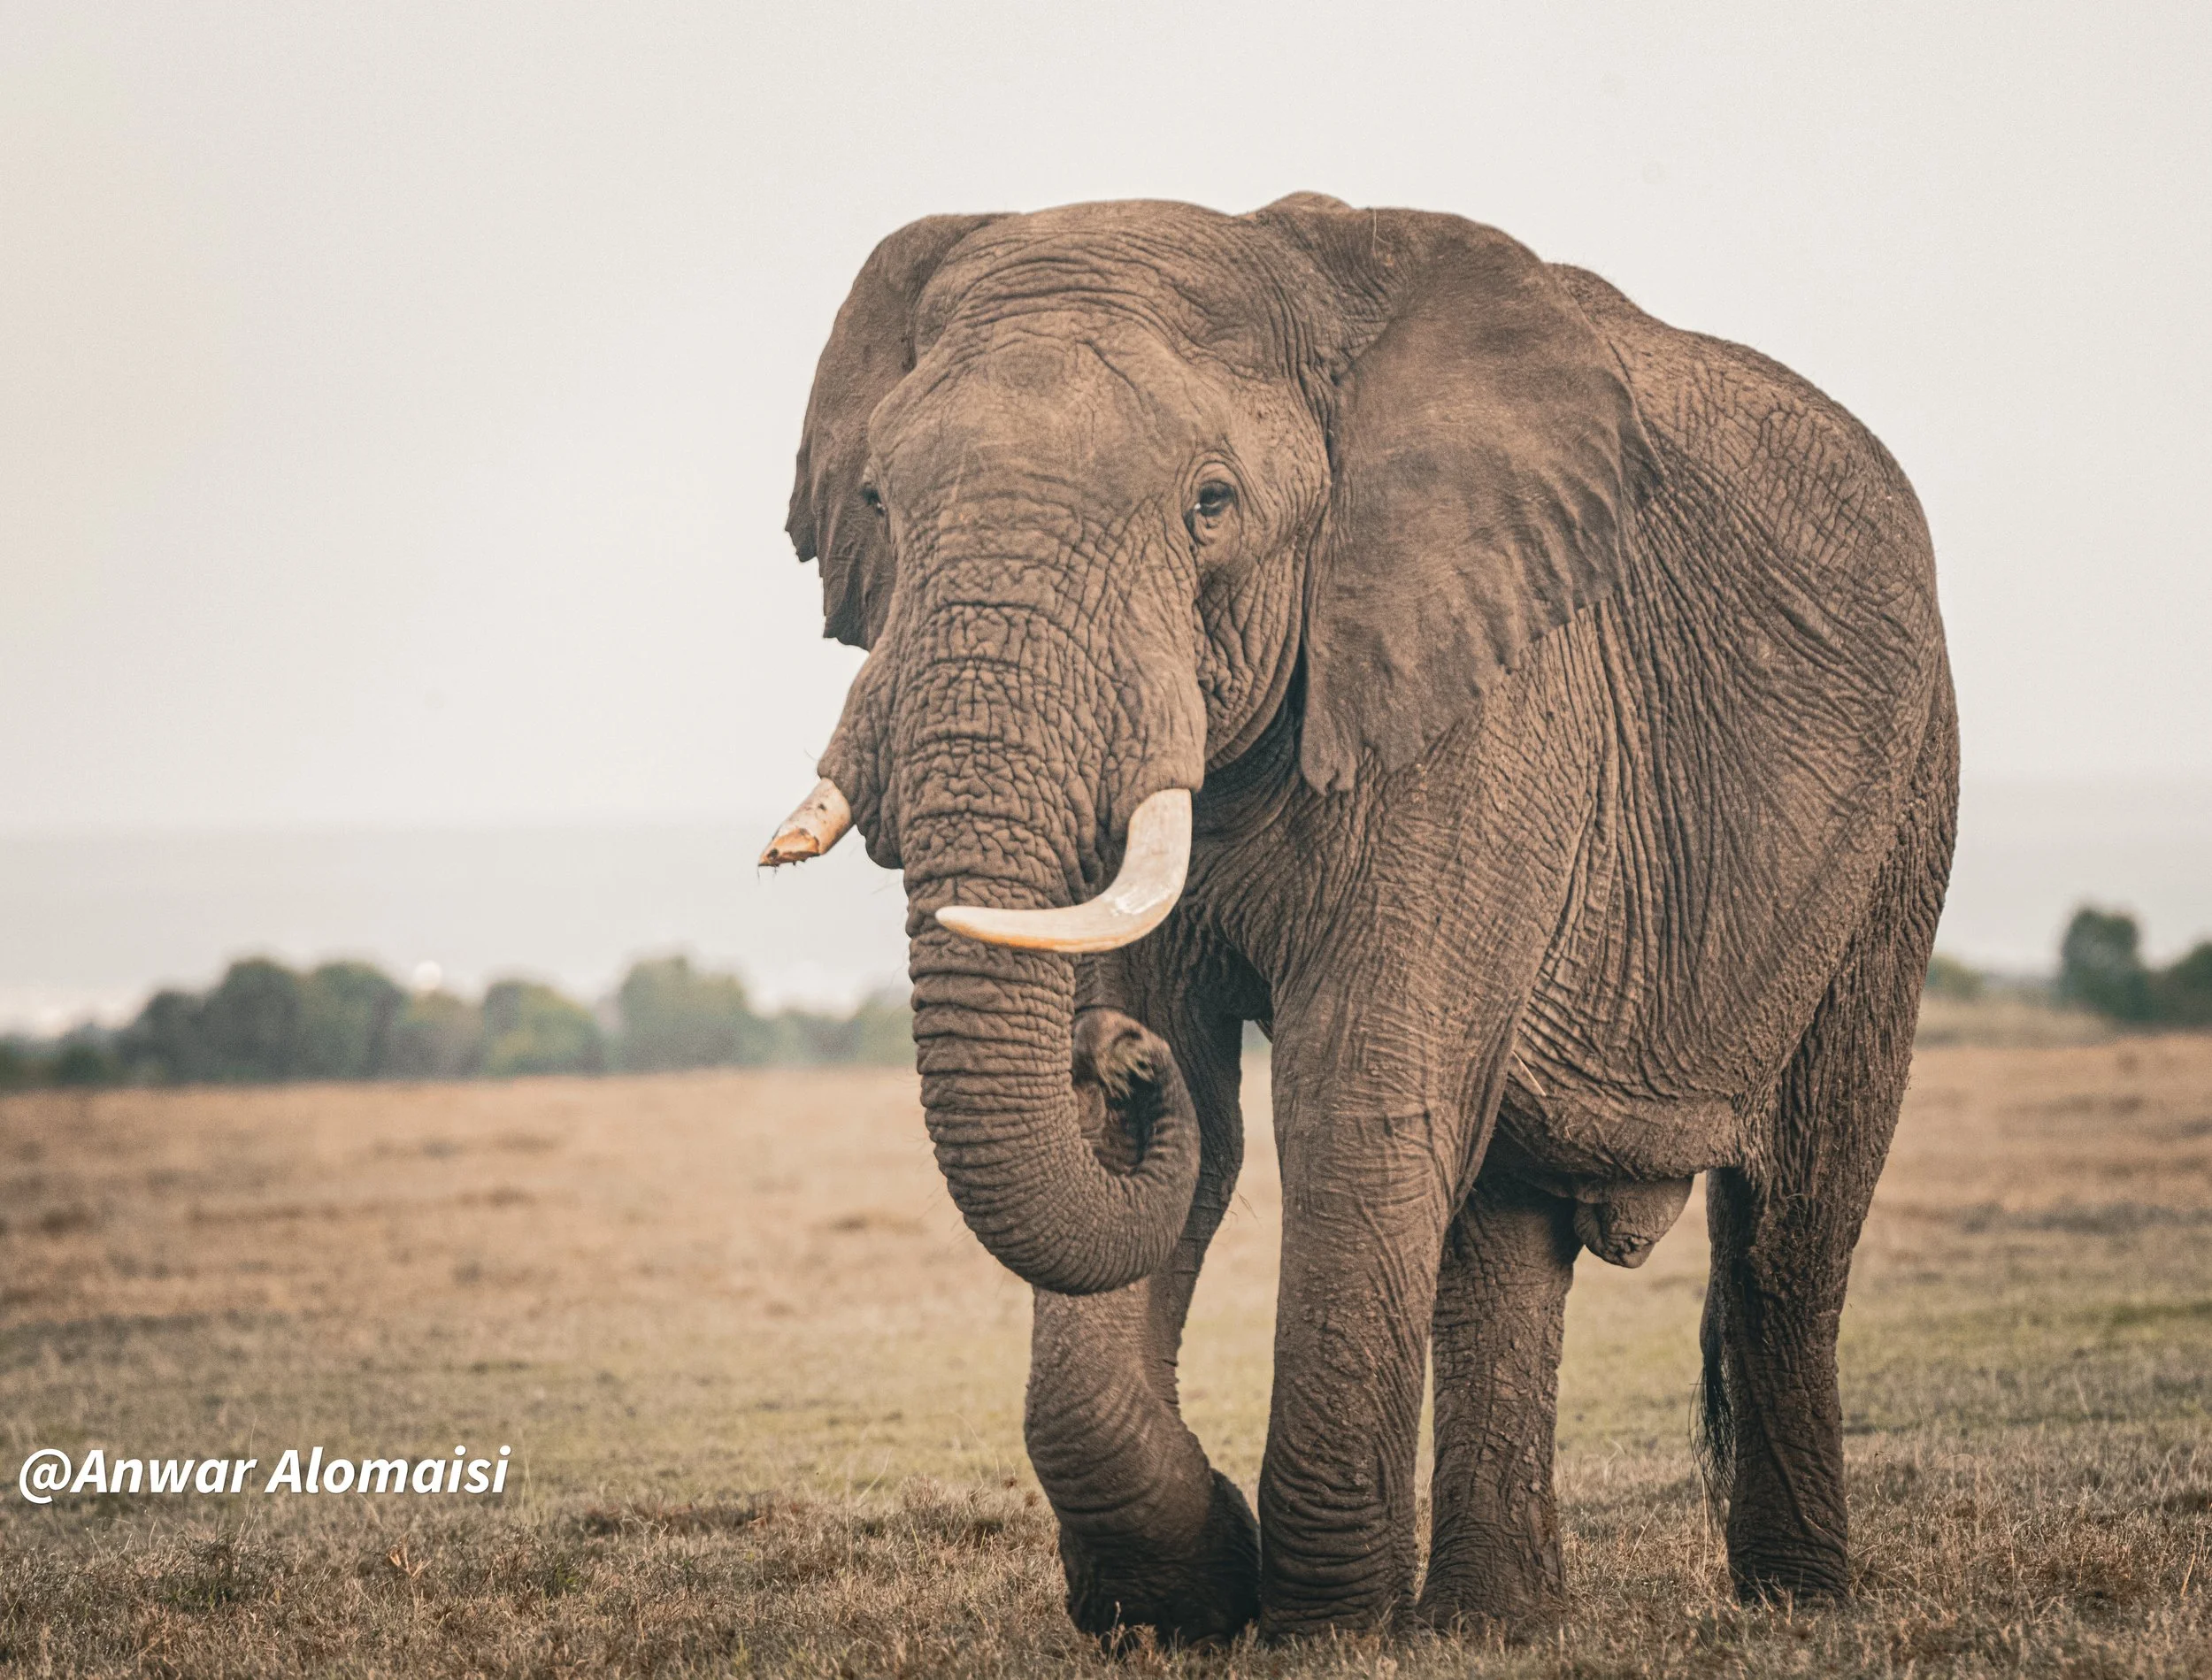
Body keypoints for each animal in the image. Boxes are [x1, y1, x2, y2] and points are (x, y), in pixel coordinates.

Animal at [760, 195, 1957, 1644]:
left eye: (1210, 505)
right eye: (879, 502)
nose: (1104, 1056)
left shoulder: (1482, 702)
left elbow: (1353, 1105)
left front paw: (1322, 1626)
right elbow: (1207, 1137)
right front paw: (1187, 1597)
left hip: (1903, 805)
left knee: (1793, 1222)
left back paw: (1795, 1606)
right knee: (1508, 1227)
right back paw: (1493, 1626)